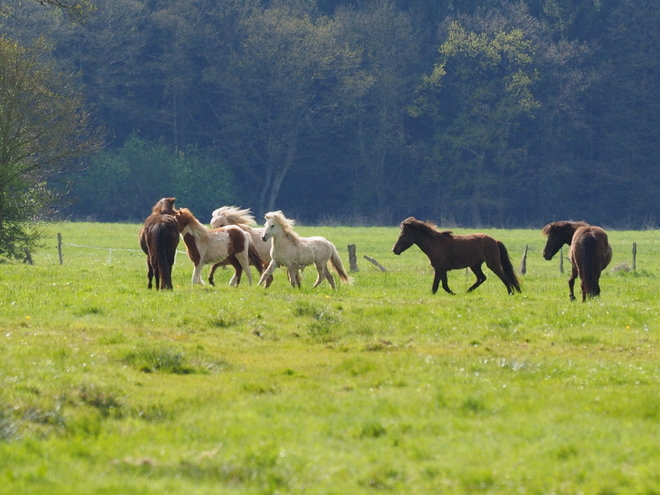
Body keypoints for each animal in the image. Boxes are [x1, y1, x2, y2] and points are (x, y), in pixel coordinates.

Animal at [392, 216, 520, 294]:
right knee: (482, 278)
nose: (394, 250)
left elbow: (436, 286)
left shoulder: (439, 268)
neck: (434, 243)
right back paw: (468, 291)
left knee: (504, 277)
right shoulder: (442, 269)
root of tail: (495, 241)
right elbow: (444, 285)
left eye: (403, 235)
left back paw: (510, 293)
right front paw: (454, 294)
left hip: (492, 264)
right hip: (475, 265)